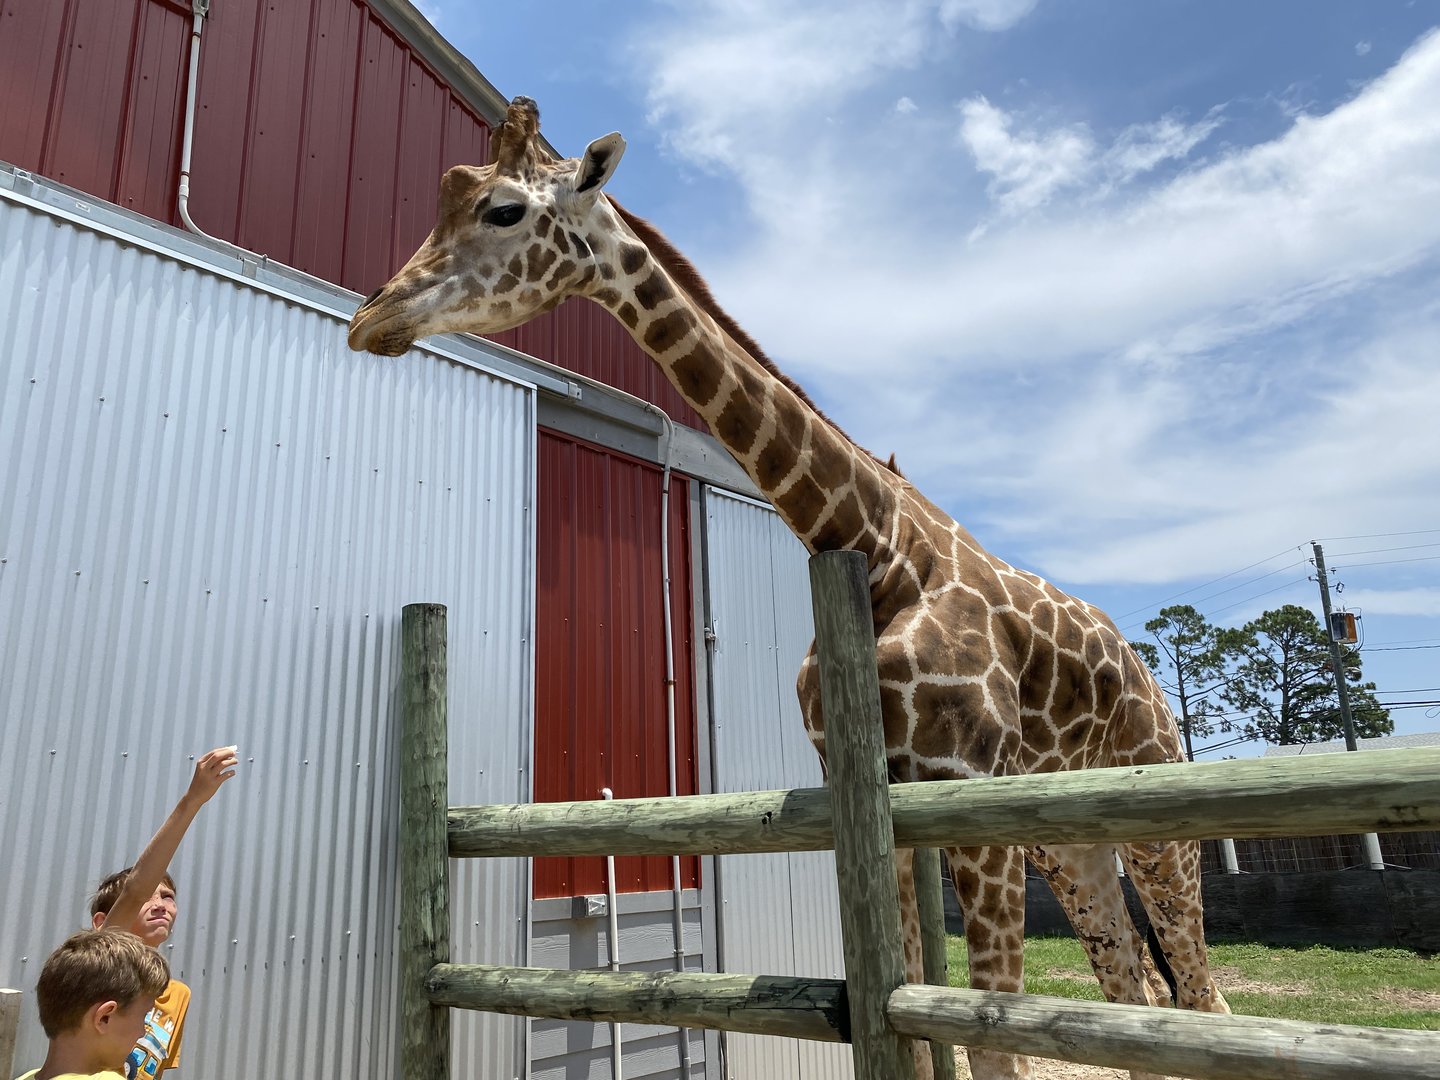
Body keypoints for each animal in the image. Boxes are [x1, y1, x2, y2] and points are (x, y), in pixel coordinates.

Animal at [348, 97, 1229, 1080]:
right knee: (1136, 992)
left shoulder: (965, 791)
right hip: (1069, 839)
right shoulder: (879, 800)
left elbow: (990, 1038)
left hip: (1155, 814)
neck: (874, 549)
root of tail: (1147, 675)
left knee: (1200, 994)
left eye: (502, 209)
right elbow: (914, 1025)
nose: (371, 315)